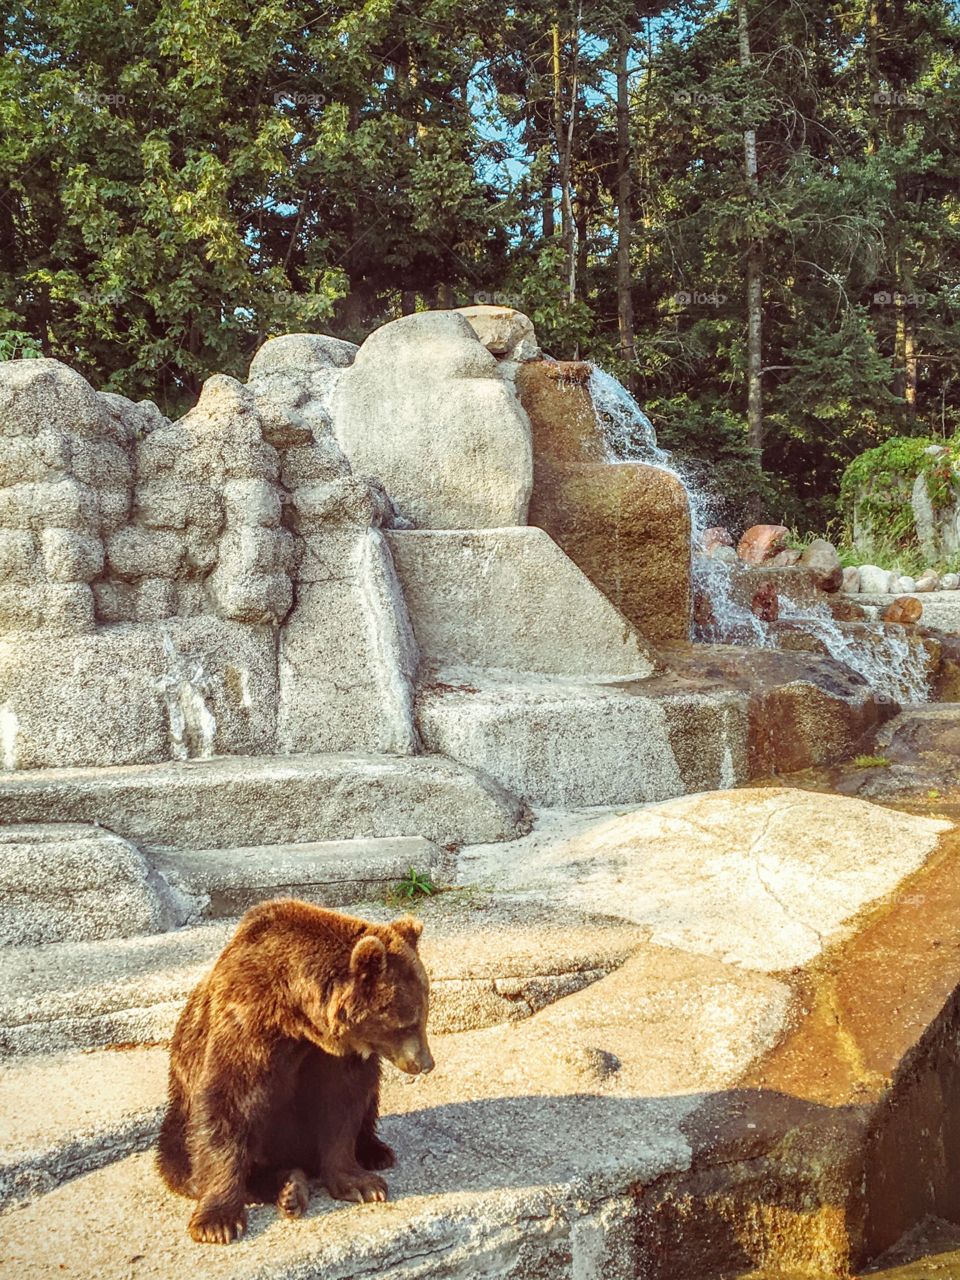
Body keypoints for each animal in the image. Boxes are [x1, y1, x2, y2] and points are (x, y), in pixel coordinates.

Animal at [156, 898, 433, 1244]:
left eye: (424, 1013)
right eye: (408, 1022)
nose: (425, 1063)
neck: (297, 1018)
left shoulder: (334, 1057)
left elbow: (342, 1107)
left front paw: (363, 1184)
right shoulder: (246, 1025)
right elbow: (228, 1104)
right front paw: (217, 1222)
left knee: (370, 1102)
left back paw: (373, 1152)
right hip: (179, 1114)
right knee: (180, 1160)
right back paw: (288, 1186)